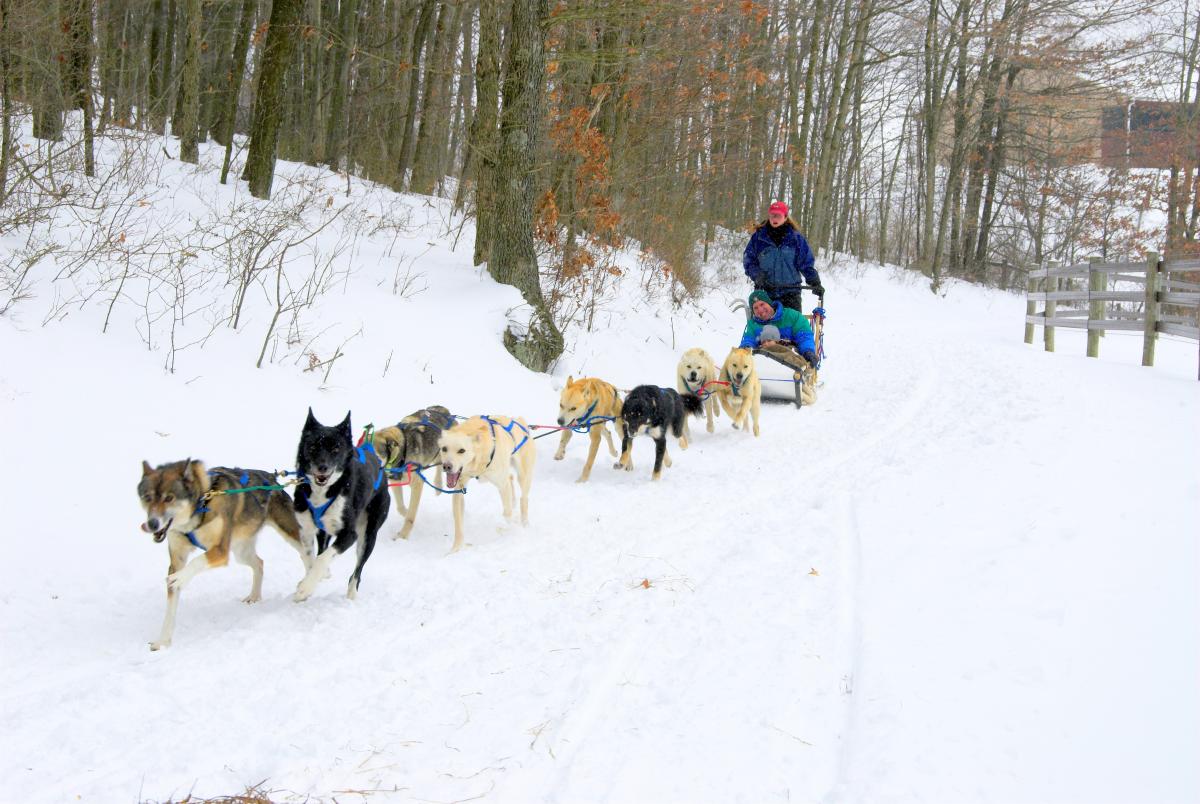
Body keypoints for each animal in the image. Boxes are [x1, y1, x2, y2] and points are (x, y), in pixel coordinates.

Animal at [137, 460, 312, 648]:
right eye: (147, 497)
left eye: (169, 498)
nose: (152, 524)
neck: (201, 506)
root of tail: (272, 477)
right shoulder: (178, 559)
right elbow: (171, 607)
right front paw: (163, 642)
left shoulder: (220, 550)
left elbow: (195, 562)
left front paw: (180, 578)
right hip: (241, 552)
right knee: (259, 563)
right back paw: (254, 596)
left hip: (290, 534)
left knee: (308, 556)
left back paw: (307, 586)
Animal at [369, 410, 453, 542]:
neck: (402, 452)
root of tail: (443, 410)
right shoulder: (395, 482)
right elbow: (401, 508)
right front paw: (406, 512)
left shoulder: (417, 484)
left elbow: (410, 516)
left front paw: (403, 535)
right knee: (440, 465)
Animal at [439, 415, 537, 554]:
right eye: (444, 449)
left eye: (462, 450)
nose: (447, 466)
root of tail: (519, 421)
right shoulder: (459, 490)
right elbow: (458, 524)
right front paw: (455, 549)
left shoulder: (502, 485)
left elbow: (507, 514)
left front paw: (511, 529)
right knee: (510, 478)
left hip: (523, 476)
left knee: (523, 498)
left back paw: (524, 523)